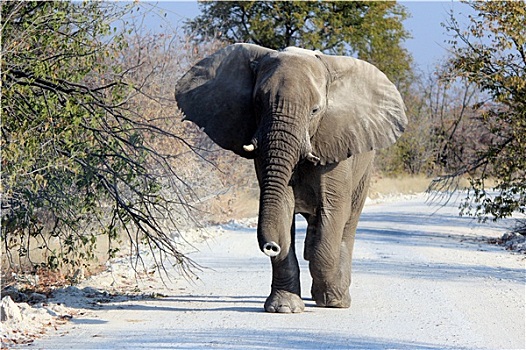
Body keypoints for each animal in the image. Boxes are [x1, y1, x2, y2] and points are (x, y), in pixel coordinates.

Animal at [176, 42, 408, 314]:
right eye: (257, 103)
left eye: (315, 110)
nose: (270, 246)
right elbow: (283, 208)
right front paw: (284, 308)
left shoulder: (336, 145)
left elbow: (332, 212)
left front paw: (330, 301)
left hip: (364, 166)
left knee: (347, 224)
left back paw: (339, 299)